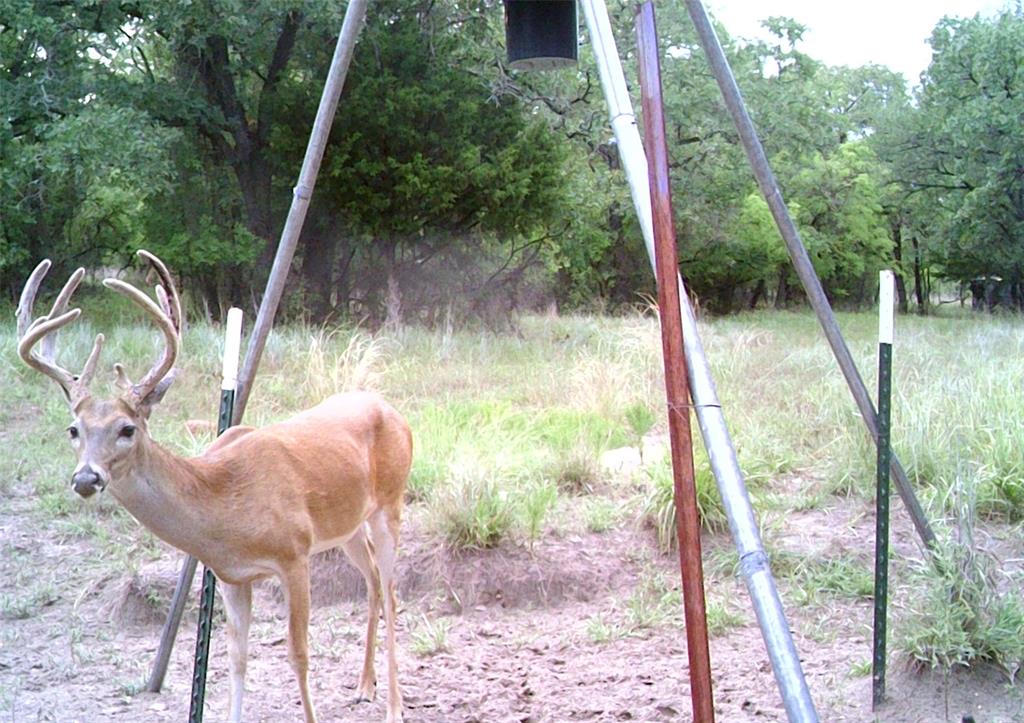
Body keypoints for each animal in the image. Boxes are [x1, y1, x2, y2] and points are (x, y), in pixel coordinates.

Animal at [17, 250, 411, 716]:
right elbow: (237, 657)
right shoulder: (231, 575)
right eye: (73, 430)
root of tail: (393, 410)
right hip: (347, 526)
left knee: (392, 590)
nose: (86, 477)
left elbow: (298, 654)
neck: (225, 505)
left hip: (391, 502)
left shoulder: (294, 553)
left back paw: (394, 706)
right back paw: (365, 685)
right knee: (372, 580)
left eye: (127, 429)